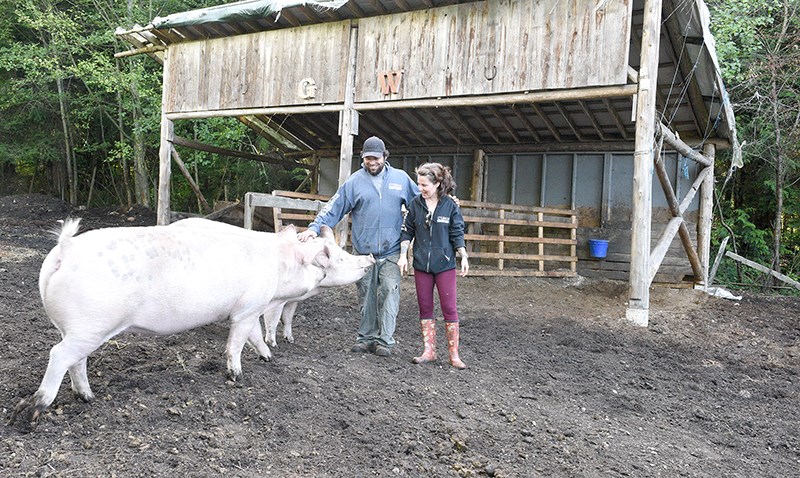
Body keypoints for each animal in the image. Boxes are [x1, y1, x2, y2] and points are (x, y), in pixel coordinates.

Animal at [12, 218, 332, 424]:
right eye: (313, 262)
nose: (324, 272)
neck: (276, 264)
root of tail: (66, 248)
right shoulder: (249, 307)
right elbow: (236, 344)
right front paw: (237, 377)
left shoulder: (247, 310)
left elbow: (252, 336)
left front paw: (268, 358)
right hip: (90, 325)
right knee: (58, 355)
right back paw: (31, 413)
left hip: (77, 329)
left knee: (76, 362)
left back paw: (88, 398)